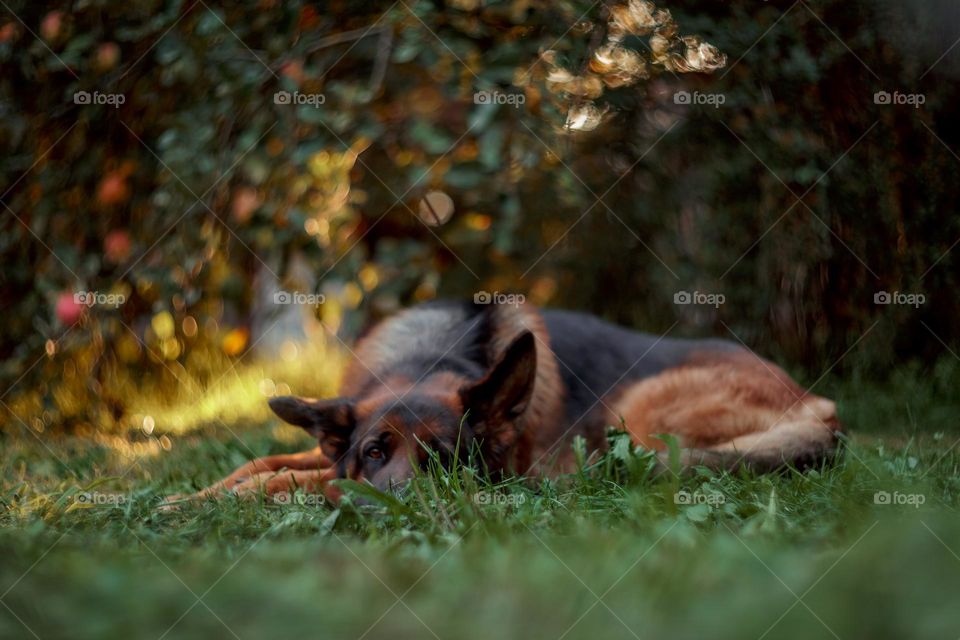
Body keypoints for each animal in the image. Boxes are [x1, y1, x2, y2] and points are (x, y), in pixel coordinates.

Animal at [172, 302, 840, 502]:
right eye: (374, 451)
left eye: (446, 457)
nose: (399, 506)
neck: (427, 360)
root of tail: (819, 405)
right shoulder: (334, 448)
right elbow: (263, 462)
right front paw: (185, 497)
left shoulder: (333, 473)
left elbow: (294, 478)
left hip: (640, 409)